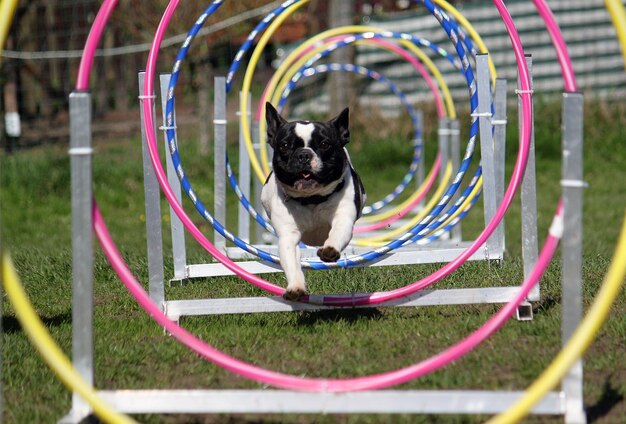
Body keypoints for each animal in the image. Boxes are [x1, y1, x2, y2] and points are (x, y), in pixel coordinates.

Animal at [260, 102, 366, 302]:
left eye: (325, 144)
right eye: (284, 145)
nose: (303, 154)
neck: (311, 198)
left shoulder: (343, 217)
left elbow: (337, 233)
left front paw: (329, 249)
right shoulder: (288, 236)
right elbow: (292, 262)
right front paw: (296, 287)